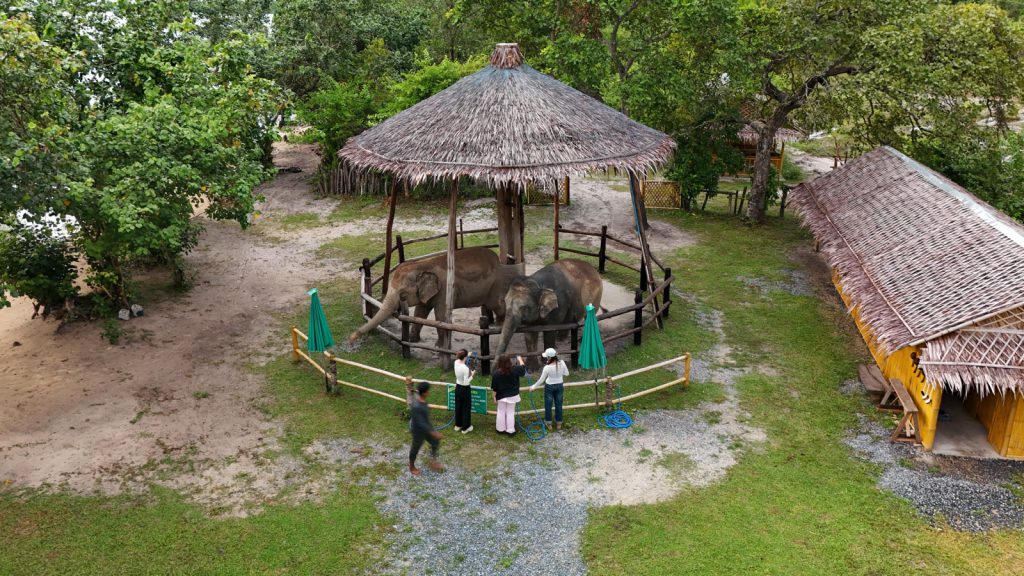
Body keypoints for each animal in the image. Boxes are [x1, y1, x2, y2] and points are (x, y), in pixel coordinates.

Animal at [348, 247, 512, 345]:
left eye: (402, 294)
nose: (351, 338)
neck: (423, 265)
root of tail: (498, 259)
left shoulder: (444, 290)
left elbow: (440, 315)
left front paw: (439, 346)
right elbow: (420, 312)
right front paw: (413, 341)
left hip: (496, 283)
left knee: (496, 304)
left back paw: (501, 324)